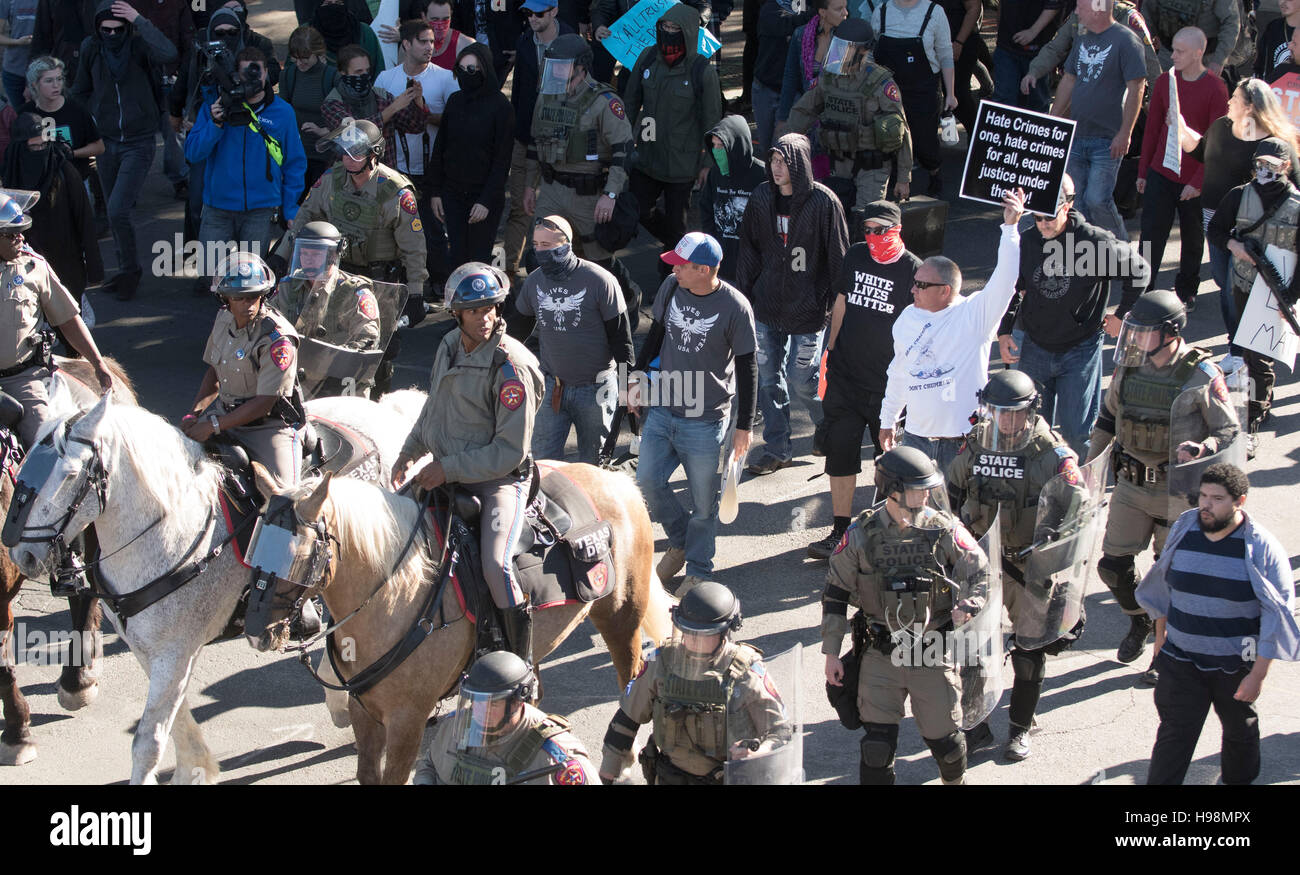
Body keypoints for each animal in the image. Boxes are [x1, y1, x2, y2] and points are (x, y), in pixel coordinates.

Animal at [5, 390, 418, 785]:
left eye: (70, 474)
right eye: (23, 462)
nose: (23, 554)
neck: (170, 526)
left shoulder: (175, 650)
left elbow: (148, 740)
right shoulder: (147, 646)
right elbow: (175, 719)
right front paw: (196, 767)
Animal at [248, 462, 670, 785]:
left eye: (297, 553)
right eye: (256, 542)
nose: (255, 632)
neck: (396, 594)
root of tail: (615, 480)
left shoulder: (407, 721)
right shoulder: (363, 710)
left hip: (621, 617)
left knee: (629, 680)